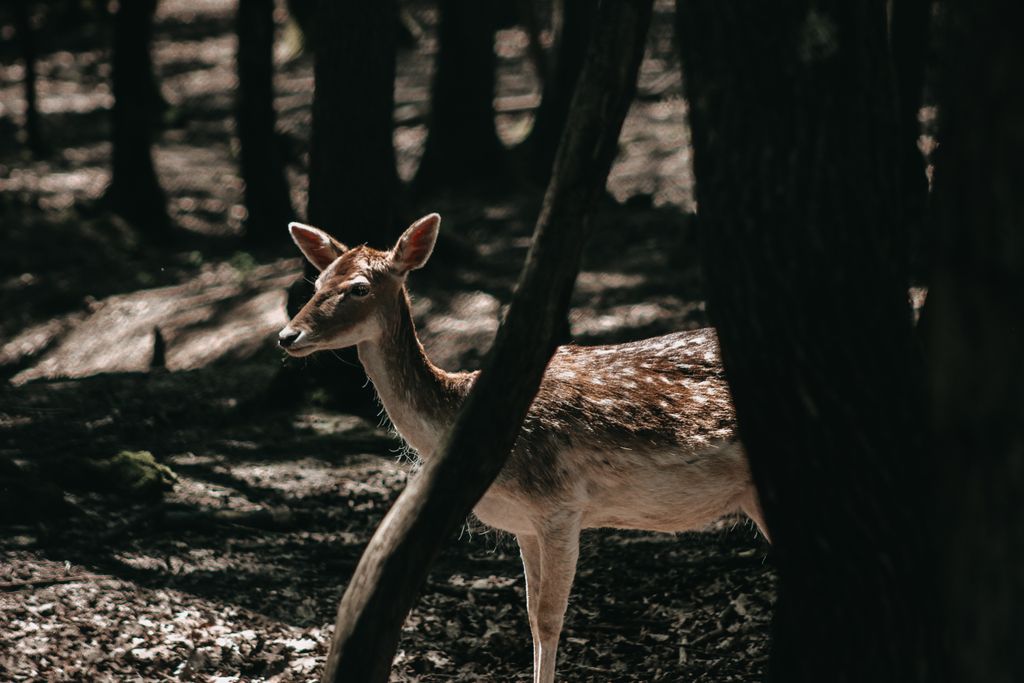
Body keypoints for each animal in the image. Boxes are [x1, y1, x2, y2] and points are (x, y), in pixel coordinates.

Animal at [278, 213, 769, 683]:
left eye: (359, 288)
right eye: (316, 284)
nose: (287, 336)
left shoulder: (560, 506)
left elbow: (551, 619)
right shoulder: (524, 524)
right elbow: (531, 618)